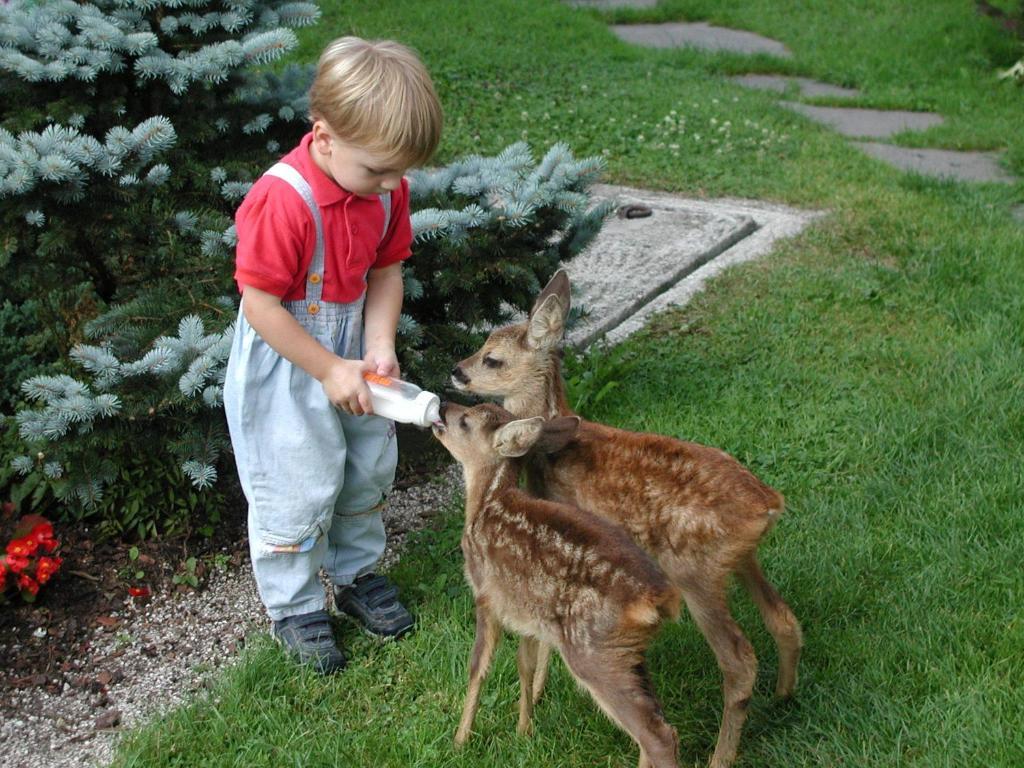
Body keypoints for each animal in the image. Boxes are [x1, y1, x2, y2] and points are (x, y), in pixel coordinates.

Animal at [432, 403, 679, 768]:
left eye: (465, 421)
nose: (442, 406)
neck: (485, 504)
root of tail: (657, 597)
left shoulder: (486, 595)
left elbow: (478, 667)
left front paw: (460, 740)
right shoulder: (526, 612)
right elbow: (525, 664)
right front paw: (524, 729)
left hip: (592, 651)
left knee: (658, 736)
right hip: (629, 653)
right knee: (653, 724)